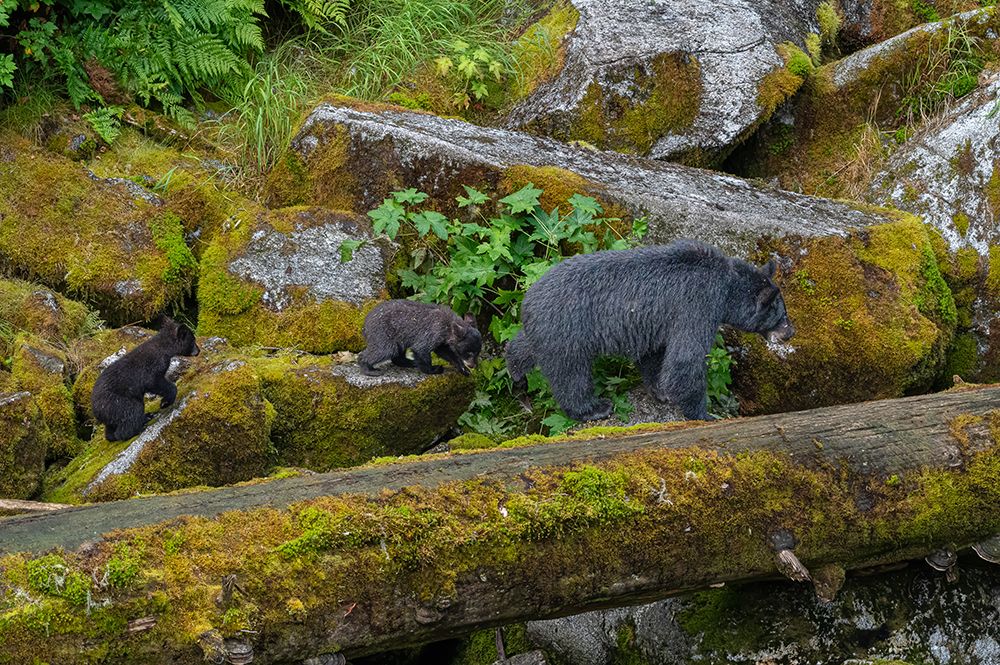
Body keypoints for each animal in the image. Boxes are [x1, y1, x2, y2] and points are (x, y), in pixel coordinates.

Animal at [506, 240, 794, 421]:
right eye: (781, 316)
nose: (791, 332)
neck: (727, 285)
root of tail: (527, 300)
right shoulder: (698, 304)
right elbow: (685, 359)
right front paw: (704, 413)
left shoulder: (658, 322)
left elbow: (655, 353)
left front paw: (661, 391)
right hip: (567, 330)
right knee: (571, 375)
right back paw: (594, 408)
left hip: (545, 331)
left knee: (525, 347)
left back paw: (514, 369)